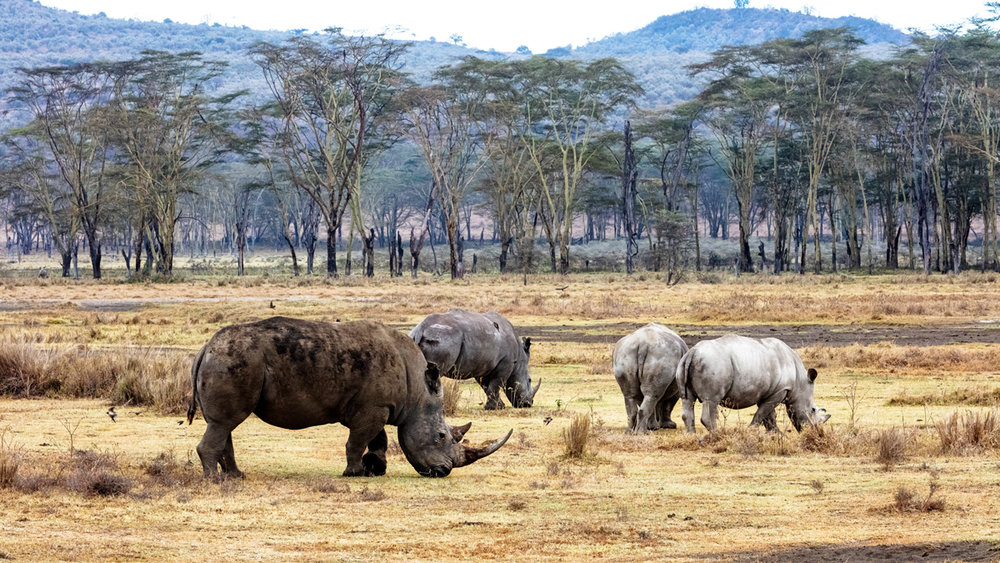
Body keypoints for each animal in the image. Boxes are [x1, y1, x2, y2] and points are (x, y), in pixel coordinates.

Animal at [188, 318, 512, 480]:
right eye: (442, 436)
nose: (443, 472)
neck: (418, 391)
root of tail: (205, 347)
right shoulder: (373, 408)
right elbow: (357, 441)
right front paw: (355, 473)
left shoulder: (377, 406)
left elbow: (378, 439)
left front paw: (376, 470)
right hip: (234, 359)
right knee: (225, 422)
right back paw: (214, 480)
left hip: (228, 359)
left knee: (225, 423)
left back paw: (236, 476)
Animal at [408, 312, 540, 410]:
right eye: (529, 380)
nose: (528, 404)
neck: (520, 357)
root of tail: (421, 330)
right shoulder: (505, 364)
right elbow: (497, 384)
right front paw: (495, 408)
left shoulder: (483, 366)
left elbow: (487, 387)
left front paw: (498, 406)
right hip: (441, 339)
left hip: (422, 338)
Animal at [676, 334, 832, 436]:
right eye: (813, 410)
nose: (815, 432)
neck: (800, 381)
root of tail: (692, 352)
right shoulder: (780, 390)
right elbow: (762, 413)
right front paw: (750, 431)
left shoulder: (769, 391)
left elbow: (769, 415)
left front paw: (777, 434)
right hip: (713, 364)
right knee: (711, 401)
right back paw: (719, 435)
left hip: (684, 363)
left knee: (687, 400)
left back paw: (691, 436)